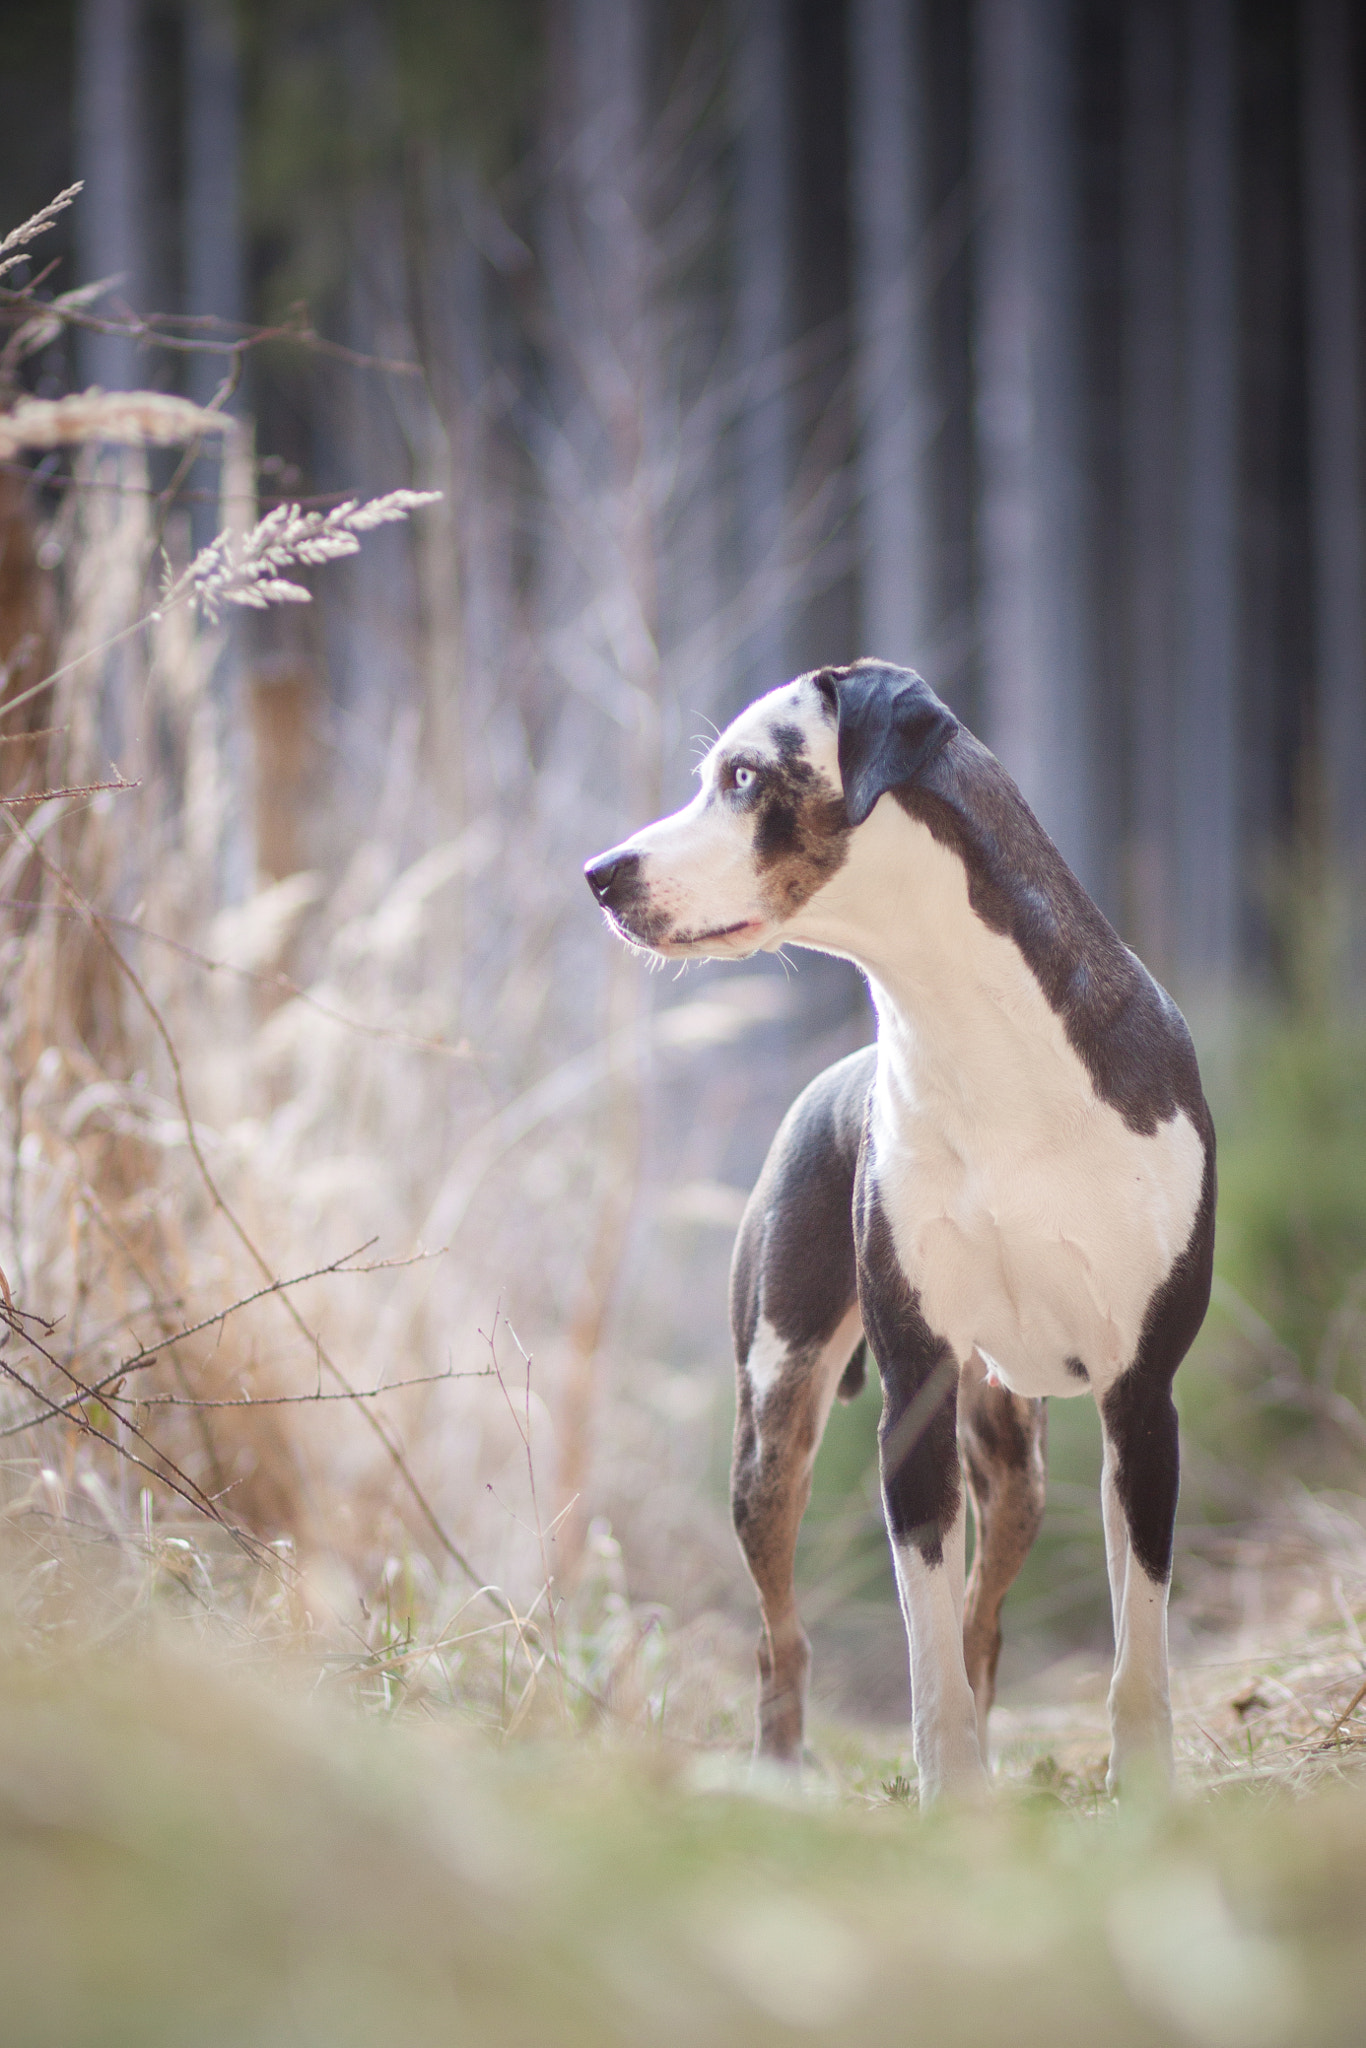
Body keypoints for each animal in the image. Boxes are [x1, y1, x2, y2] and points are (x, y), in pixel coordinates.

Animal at [589, 663, 1220, 1802]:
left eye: (743, 775)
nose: (601, 874)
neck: (986, 1043)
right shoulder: (914, 1402)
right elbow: (926, 1651)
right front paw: (950, 1794)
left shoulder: (1142, 1398)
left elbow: (1138, 1636)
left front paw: (1145, 1788)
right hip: (774, 1428)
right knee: (782, 1637)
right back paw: (780, 1777)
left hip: (1016, 1470)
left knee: (983, 1620)